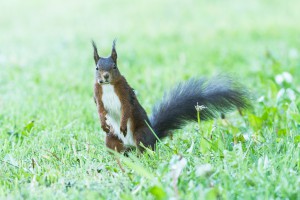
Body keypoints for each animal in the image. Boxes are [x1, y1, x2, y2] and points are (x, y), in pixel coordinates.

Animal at [92, 40, 252, 153]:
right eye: (97, 68)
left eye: (114, 67)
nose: (105, 77)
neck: (108, 86)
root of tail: (154, 136)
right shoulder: (97, 94)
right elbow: (100, 109)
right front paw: (103, 123)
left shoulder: (125, 93)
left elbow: (126, 108)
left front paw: (123, 125)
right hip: (111, 138)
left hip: (141, 133)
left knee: (144, 149)